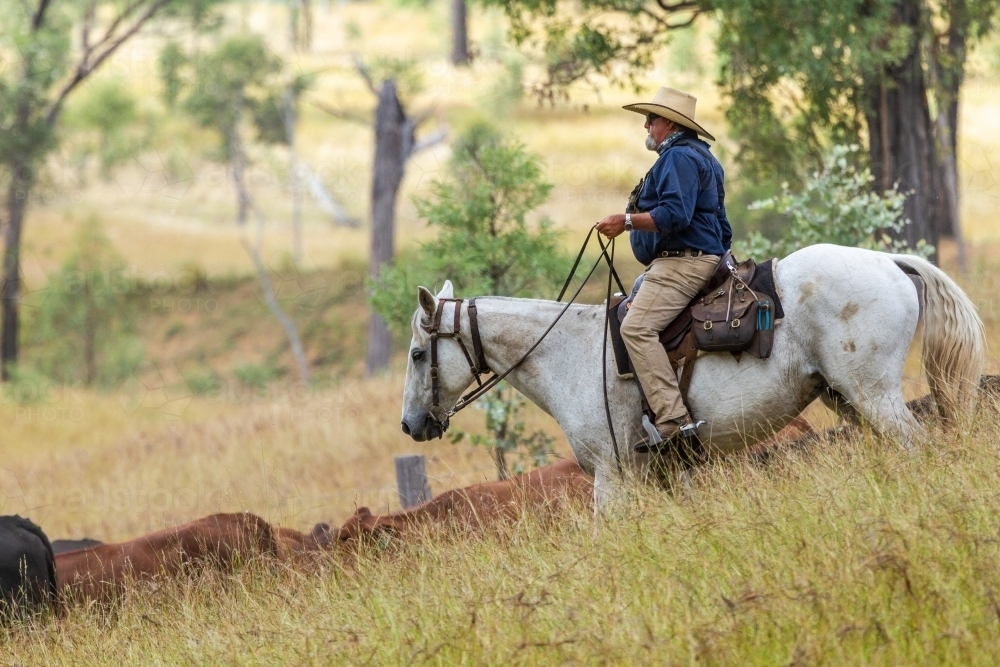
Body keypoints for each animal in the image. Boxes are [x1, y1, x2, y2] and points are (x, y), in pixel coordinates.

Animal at [398, 245, 984, 506]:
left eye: (418, 354)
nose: (410, 425)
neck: (570, 352)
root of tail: (888, 260)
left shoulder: (614, 476)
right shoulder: (660, 477)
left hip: (876, 395)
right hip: (848, 399)